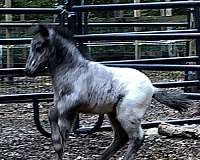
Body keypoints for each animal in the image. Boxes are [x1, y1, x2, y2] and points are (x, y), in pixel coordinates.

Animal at [24, 24, 191, 159]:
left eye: (39, 47)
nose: (28, 70)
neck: (73, 71)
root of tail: (152, 88)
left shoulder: (71, 103)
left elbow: (51, 113)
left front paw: (56, 144)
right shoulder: (68, 111)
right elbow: (64, 132)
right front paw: (59, 150)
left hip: (127, 115)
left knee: (137, 138)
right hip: (113, 114)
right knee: (121, 137)